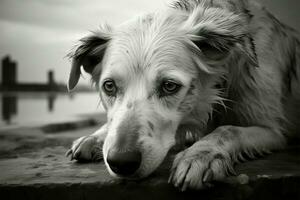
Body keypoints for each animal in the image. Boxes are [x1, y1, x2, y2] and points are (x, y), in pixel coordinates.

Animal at [66, 0, 300, 191]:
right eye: (109, 86)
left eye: (170, 86)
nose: (121, 162)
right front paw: (95, 136)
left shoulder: (273, 131)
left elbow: (228, 129)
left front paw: (199, 155)